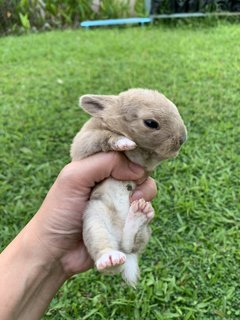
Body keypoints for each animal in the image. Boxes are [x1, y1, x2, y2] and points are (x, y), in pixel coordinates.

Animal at [70, 88, 187, 288]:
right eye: (150, 123)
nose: (182, 140)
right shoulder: (85, 143)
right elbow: (104, 137)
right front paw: (124, 142)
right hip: (94, 220)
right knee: (108, 257)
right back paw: (110, 258)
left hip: (145, 232)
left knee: (130, 245)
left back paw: (139, 214)